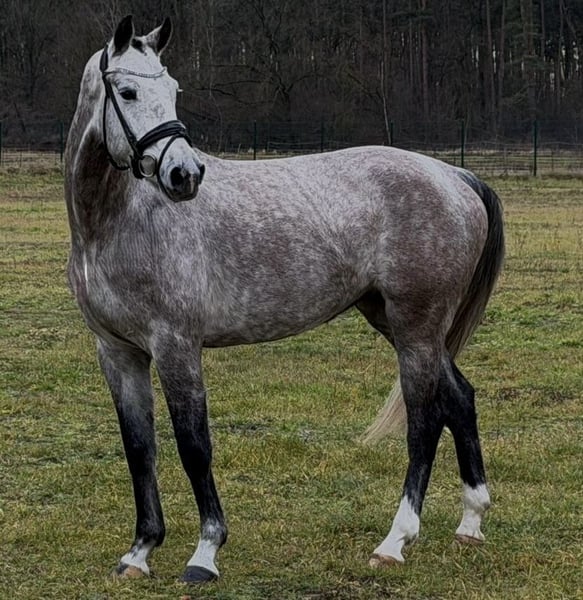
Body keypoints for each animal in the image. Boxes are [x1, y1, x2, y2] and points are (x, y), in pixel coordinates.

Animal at [64, 16, 504, 584]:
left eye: (174, 90)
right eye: (128, 91)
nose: (184, 175)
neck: (118, 223)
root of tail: (454, 175)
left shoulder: (176, 346)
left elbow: (193, 446)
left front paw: (205, 553)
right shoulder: (117, 352)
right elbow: (140, 448)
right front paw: (140, 552)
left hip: (417, 328)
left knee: (425, 421)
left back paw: (394, 541)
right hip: (400, 323)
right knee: (460, 399)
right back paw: (471, 522)